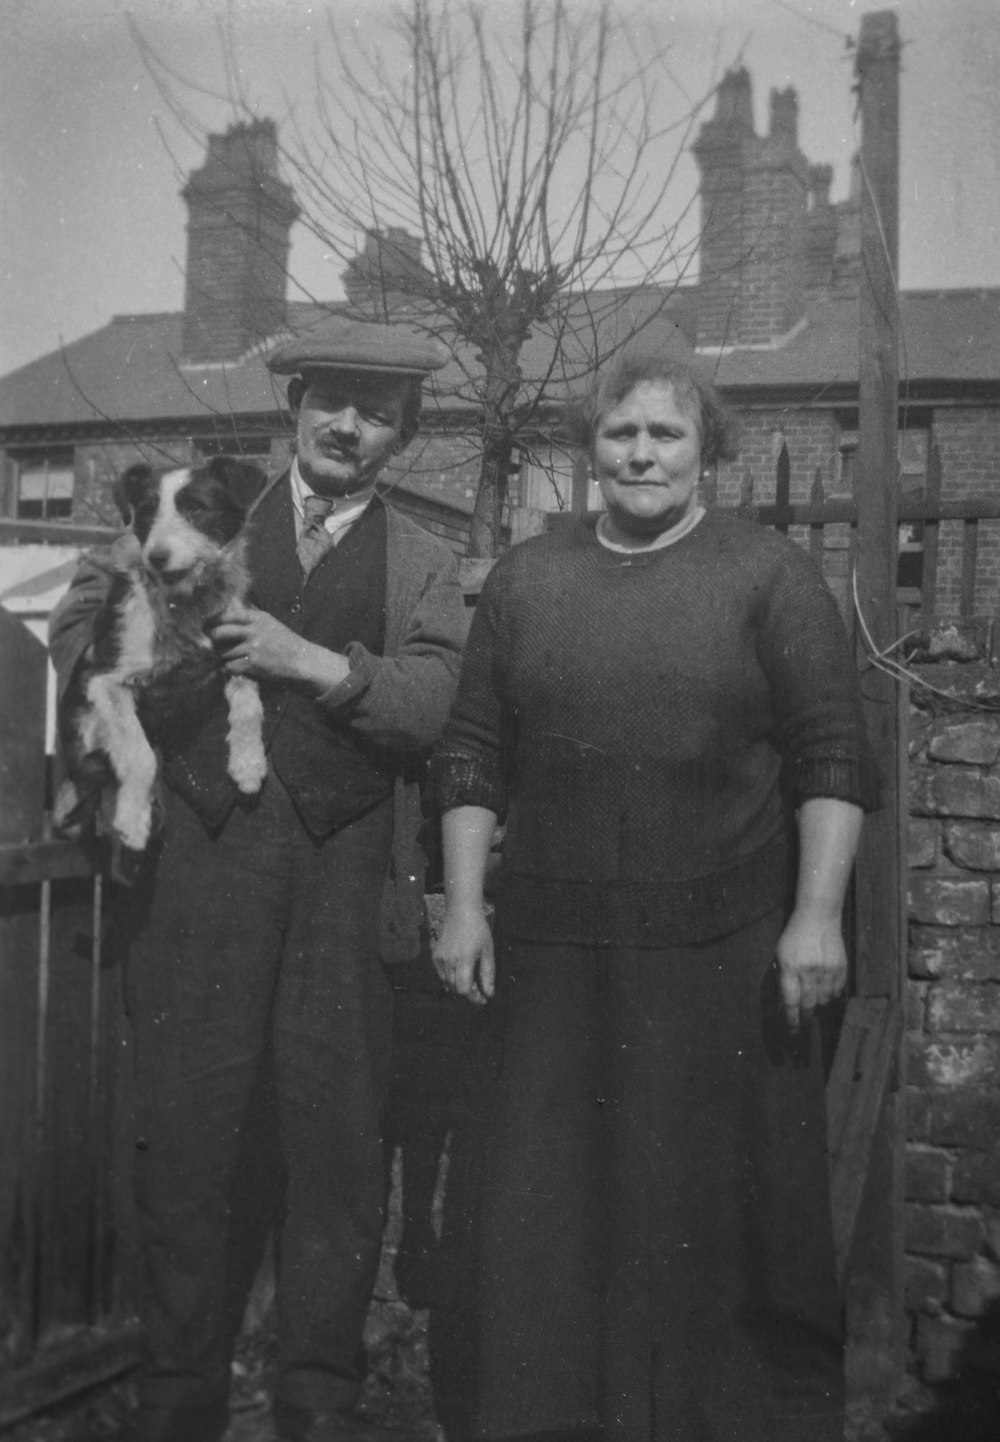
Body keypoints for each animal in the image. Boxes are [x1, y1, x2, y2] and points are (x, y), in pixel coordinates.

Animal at [55, 455, 266, 853]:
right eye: (147, 511)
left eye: (196, 508)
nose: (156, 557)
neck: (186, 602)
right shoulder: (105, 680)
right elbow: (139, 755)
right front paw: (132, 822)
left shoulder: (239, 651)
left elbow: (249, 706)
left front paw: (248, 764)